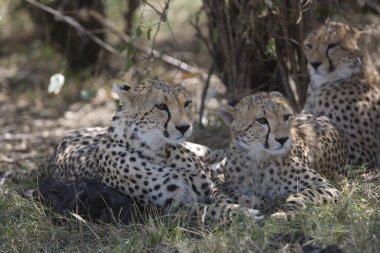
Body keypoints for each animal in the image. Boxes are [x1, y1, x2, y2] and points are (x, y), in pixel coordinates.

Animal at [212, 92, 348, 218]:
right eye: (261, 120)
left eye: (286, 117)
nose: (283, 139)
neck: (259, 159)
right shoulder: (227, 185)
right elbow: (226, 194)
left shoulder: (327, 186)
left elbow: (302, 195)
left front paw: (283, 213)